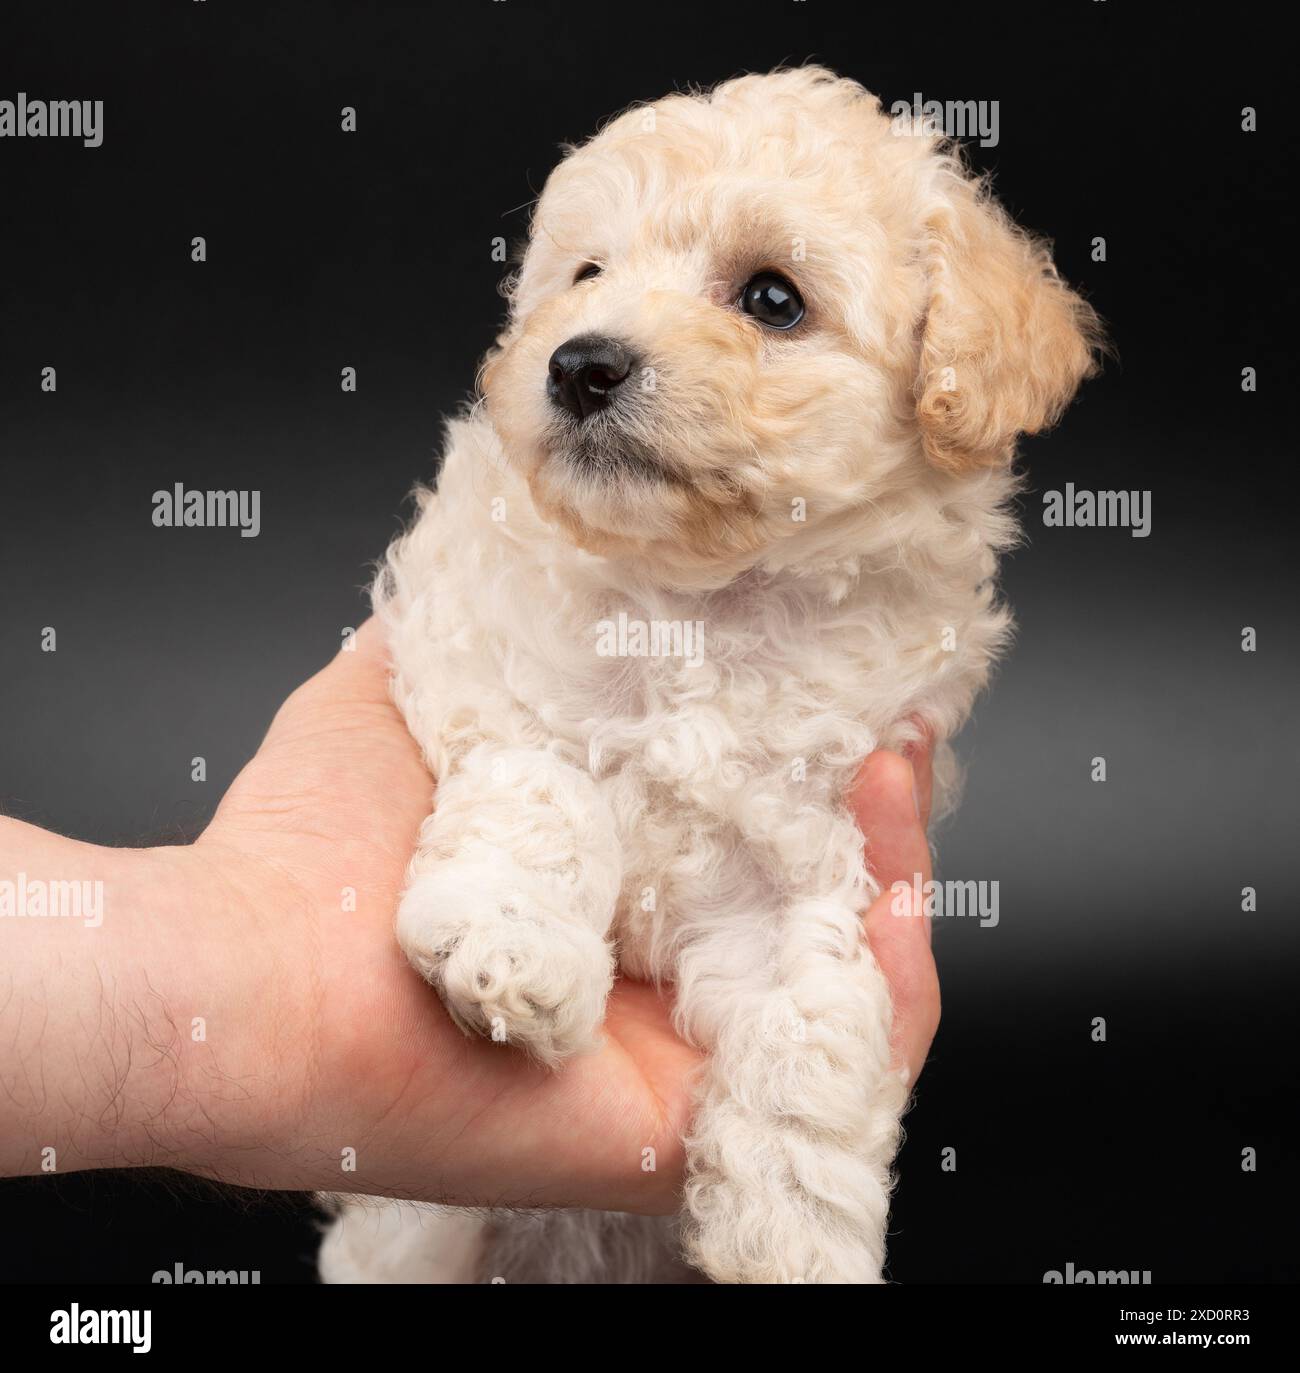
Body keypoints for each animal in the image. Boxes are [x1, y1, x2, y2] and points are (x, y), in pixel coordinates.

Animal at [317, 66, 1098, 1285]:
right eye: (587, 274)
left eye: (772, 299)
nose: (579, 362)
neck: (696, 606)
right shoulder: (485, 674)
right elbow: (545, 791)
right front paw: (509, 944)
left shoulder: (812, 846)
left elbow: (810, 1014)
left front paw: (793, 1223)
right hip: (415, 1229)